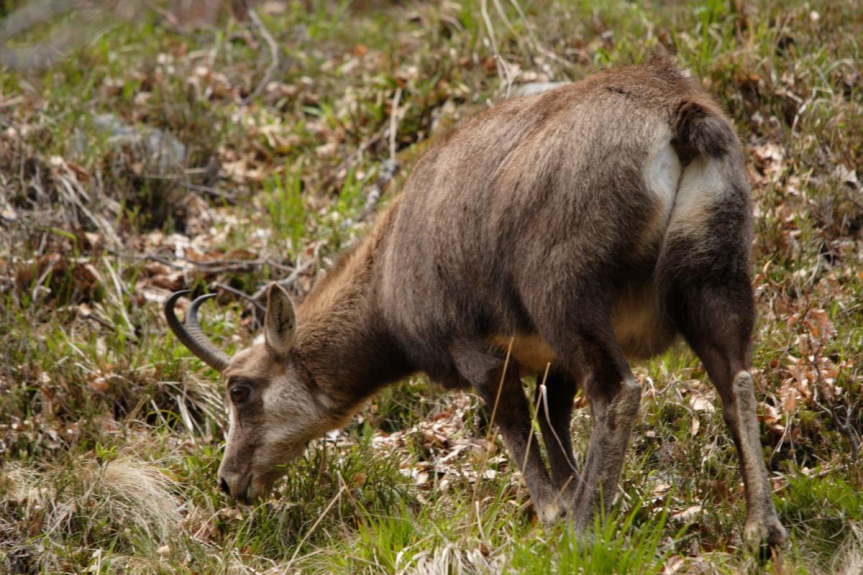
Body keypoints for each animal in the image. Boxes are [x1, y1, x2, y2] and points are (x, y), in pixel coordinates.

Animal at [166, 55, 787, 548]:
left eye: (240, 390)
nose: (229, 482)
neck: (389, 272)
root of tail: (677, 115)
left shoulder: (472, 347)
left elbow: (514, 423)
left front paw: (558, 515)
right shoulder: (548, 363)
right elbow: (555, 421)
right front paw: (572, 498)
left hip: (566, 296)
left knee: (618, 389)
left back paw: (587, 531)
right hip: (713, 275)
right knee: (736, 378)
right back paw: (761, 531)